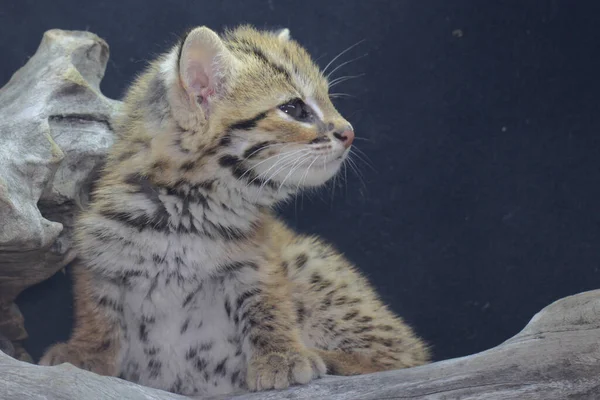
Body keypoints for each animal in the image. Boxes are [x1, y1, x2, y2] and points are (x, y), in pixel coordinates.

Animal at [37, 25, 428, 396]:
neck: (185, 215)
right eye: (293, 109)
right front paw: (85, 353)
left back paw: (329, 358)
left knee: (406, 354)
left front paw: (282, 356)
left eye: (328, 99)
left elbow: (268, 305)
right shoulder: (96, 257)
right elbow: (96, 311)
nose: (349, 133)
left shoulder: (259, 261)